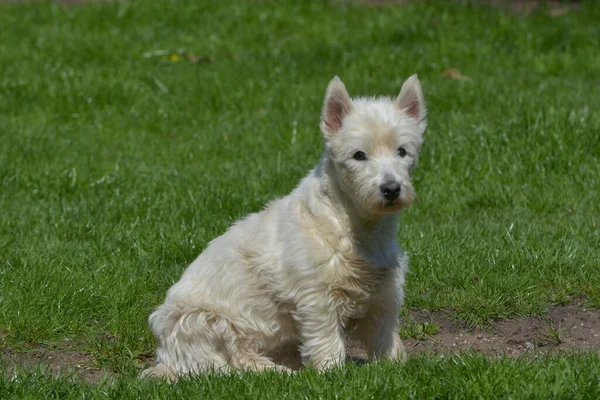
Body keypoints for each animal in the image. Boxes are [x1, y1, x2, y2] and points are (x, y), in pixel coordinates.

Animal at [142, 76, 426, 378]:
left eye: (402, 151)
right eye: (359, 155)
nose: (391, 189)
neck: (359, 228)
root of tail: (165, 359)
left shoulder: (383, 295)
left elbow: (384, 337)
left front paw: (397, 366)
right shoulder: (317, 298)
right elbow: (326, 339)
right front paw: (332, 373)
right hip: (204, 321)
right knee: (231, 362)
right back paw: (276, 371)